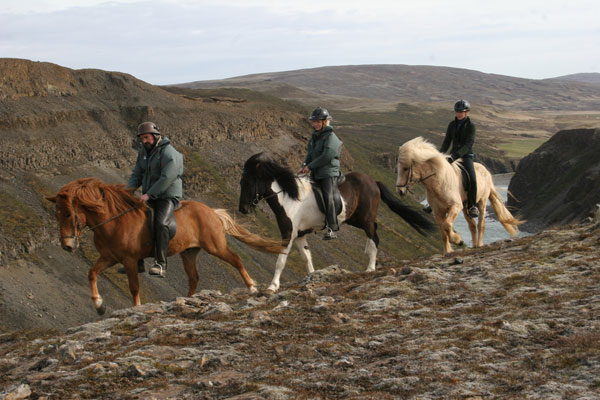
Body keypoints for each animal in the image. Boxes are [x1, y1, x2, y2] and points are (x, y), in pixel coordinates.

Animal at [45, 177, 284, 314]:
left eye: (68, 214)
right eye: (56, 214)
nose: (67, 246)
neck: (113, 222)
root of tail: (211, 211)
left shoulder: (130, 260)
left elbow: (134, 287)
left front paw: (136, 308)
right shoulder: (109, 258)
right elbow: (92, 273)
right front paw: (99, 305)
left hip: (215, 246)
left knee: (235, 259)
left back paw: (252, 287)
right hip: (189, 253)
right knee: (194, 277)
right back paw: (187, 300)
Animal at [237, 152, 434, 292]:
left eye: (249, 181)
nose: (243, 209)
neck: (289, 197)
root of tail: (373, 182)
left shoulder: (288, 234)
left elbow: (281, 261)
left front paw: (272, 286)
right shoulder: (299, 235)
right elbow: (307, 257)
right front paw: (312, 277)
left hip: (366, 218)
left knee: (375, 237)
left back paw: (370, 267)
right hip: (355, 219)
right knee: (374, 232)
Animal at [396, 137, 524, 253]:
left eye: (406, 168)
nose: (400, 191)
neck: (439, 183)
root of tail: (486, 171)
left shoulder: (455, 206)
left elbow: (447, 225)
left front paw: (457, 240)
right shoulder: (438, 212)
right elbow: (443, 231)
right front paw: (447, 251)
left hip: (481, 202)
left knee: (481, 224)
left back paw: (480, 244)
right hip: (466, 207)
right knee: (472, 225)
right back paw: (474, 245)